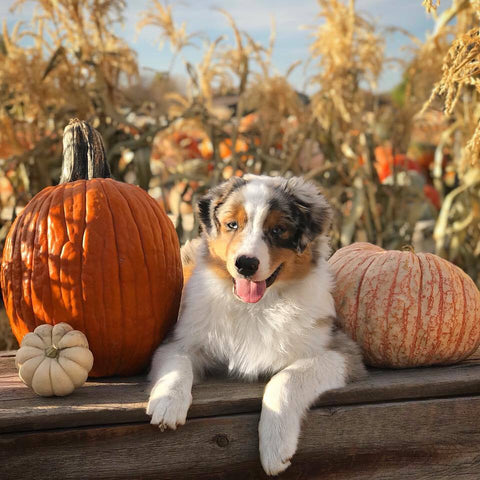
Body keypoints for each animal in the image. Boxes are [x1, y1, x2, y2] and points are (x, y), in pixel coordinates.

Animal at [148, 174, 366, 474]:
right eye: (232, 225)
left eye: (277, 230)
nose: (246, 264)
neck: (255, 308)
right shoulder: (179, 340)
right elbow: (177, 365)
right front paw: (167, 403)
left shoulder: (340, 351)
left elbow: (286, 378)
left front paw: (276, 447)